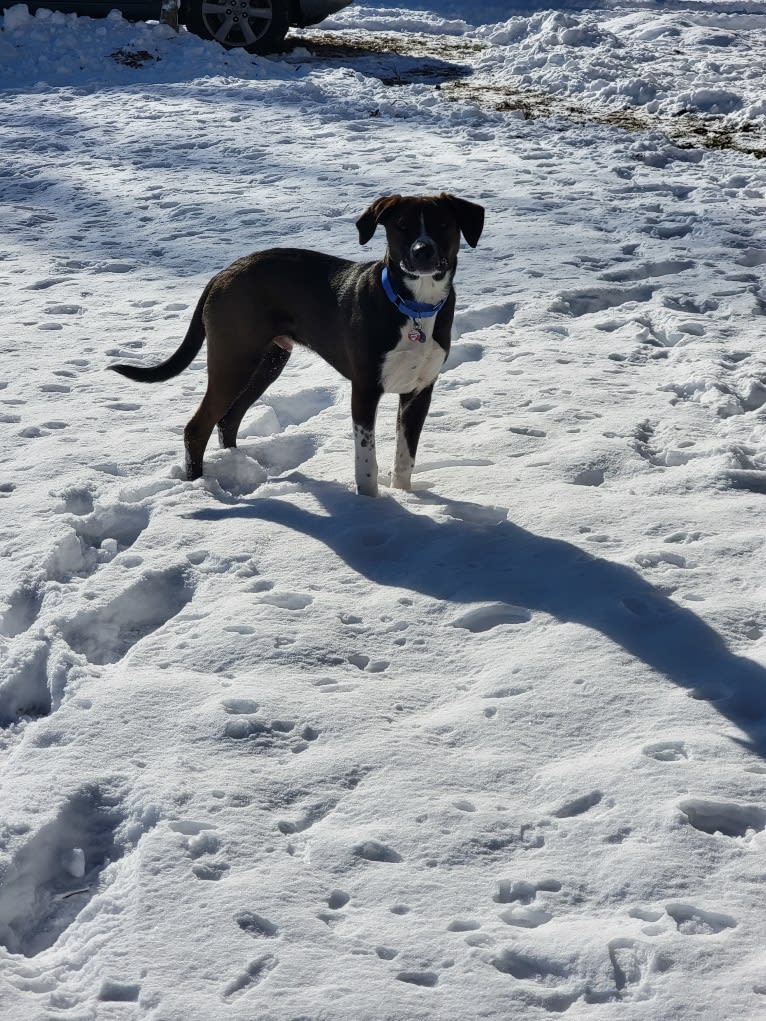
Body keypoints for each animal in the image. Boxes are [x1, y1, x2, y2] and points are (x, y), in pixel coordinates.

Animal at [108, 195, 486, 498]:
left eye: (443, 224)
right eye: (402, 226)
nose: (423, 252)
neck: (415, 307)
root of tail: (223, 273)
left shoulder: (419, 392)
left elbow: (405, 459)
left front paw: (406, 498)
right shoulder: (365, 389)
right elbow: (367, 462)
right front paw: (371, 507)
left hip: (267, 362)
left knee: (228, 420)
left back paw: (235, 465)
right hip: (234, 360)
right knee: (196, 428)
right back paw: (200, 489)